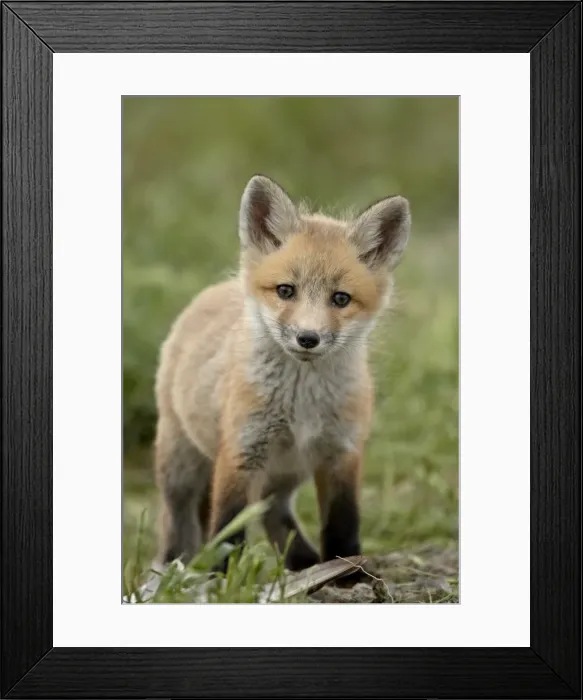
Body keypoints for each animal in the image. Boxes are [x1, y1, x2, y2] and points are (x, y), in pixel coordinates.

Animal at [152, 174, 410, 577]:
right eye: (286, 291)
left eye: (341, 299)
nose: (308, 338)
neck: (301, 403)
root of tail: (214, 290)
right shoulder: (241, 451)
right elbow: (227, 527)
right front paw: (221, 578)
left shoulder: (342, 452)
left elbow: (343, 523)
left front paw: (347, 573)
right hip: (180, 464)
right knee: (178, 520)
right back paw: (173, 566)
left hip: (287, 474)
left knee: (275, 513)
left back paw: (304, 564)